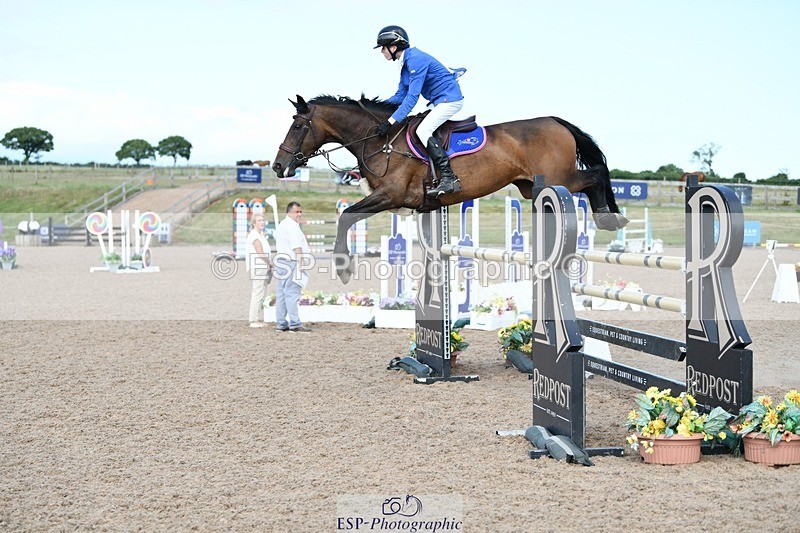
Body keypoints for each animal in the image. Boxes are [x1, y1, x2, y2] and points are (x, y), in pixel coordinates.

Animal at [272, 94, 629, 283]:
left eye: (299, 126)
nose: (277, 166)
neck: (379, 140)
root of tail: (556, 121)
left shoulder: (389, 196)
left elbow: (346, 216)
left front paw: (343, 267)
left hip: (558, 180)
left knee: (596, 174)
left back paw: (608, 217)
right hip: (531, 188)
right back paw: (609, 217)